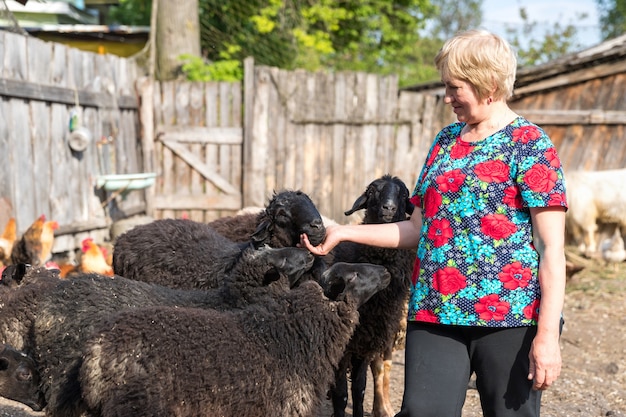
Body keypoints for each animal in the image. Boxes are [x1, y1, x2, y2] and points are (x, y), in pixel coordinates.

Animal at [326, 174, 414, 416]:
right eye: (373, 192)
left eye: (404, 194)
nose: (389, 208)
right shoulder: (344, 347)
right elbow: (341, 395)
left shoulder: (365, 343)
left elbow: (359, 389)